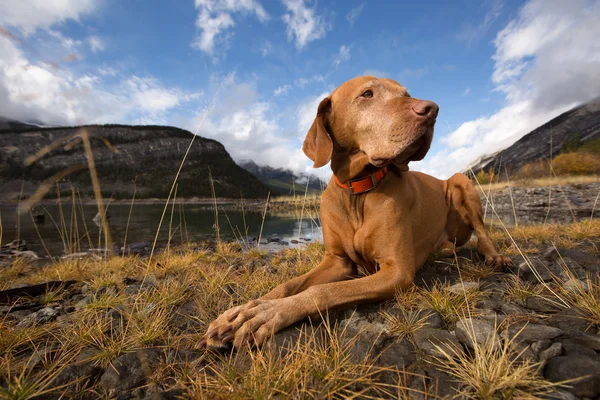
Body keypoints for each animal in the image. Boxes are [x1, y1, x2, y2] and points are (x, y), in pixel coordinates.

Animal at [202, 76, 510, 348]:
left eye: (407, 93)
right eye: (367, 94)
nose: (432, 109)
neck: (357, 190)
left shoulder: (396, 271)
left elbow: (321, 290)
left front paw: (269, 314)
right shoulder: (337, 261)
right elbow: (290, 284)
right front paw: (244, 310)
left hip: (461, 181)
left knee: (482, 231)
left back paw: (493, 255)